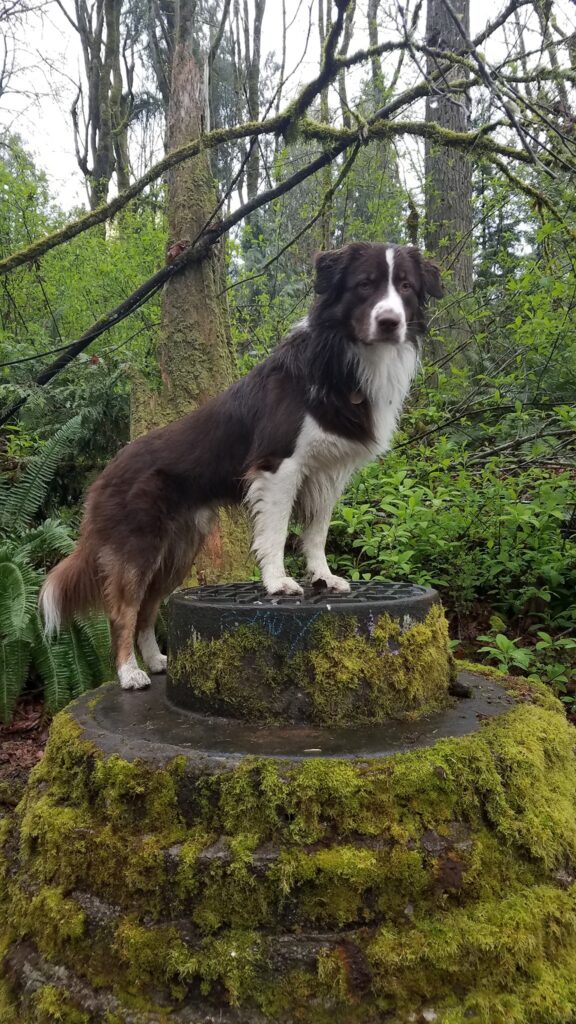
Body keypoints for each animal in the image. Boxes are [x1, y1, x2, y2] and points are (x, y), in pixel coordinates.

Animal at [40, 241, 440, 688]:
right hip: (137, 550)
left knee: (147, 607)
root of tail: (103, 477)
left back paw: (158, 661)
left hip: (178, 552)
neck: (342, 357)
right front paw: (279, 582)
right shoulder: (279, 467)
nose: (390, 322)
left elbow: (316, 533)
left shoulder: (328, 473)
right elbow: (276, 533)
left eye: (405, 286)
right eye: (365, 285)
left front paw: (323, 576)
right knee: (122, 611)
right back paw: (129, 672)